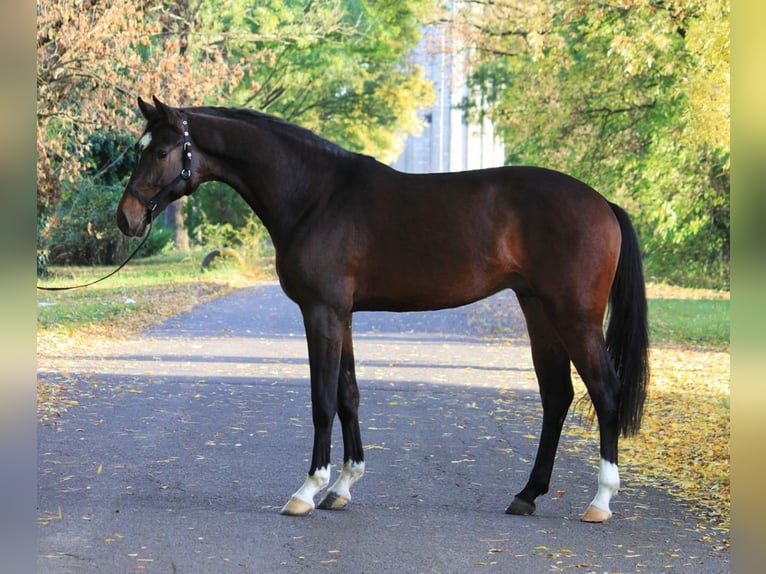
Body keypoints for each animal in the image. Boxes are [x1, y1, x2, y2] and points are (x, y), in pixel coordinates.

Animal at [117, 98, 652, 528]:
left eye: (160, 152)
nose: (127, 218)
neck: (315, 195)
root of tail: (601, 202)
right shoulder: (343, 315)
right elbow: (349, 395)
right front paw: (342, 487)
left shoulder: (321, 313)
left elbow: (322, 400)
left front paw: (308, 489)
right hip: (538, 312)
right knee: (557, 396)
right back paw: (527, 495)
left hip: (574, 317)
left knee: (605, 392)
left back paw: (600, 501)